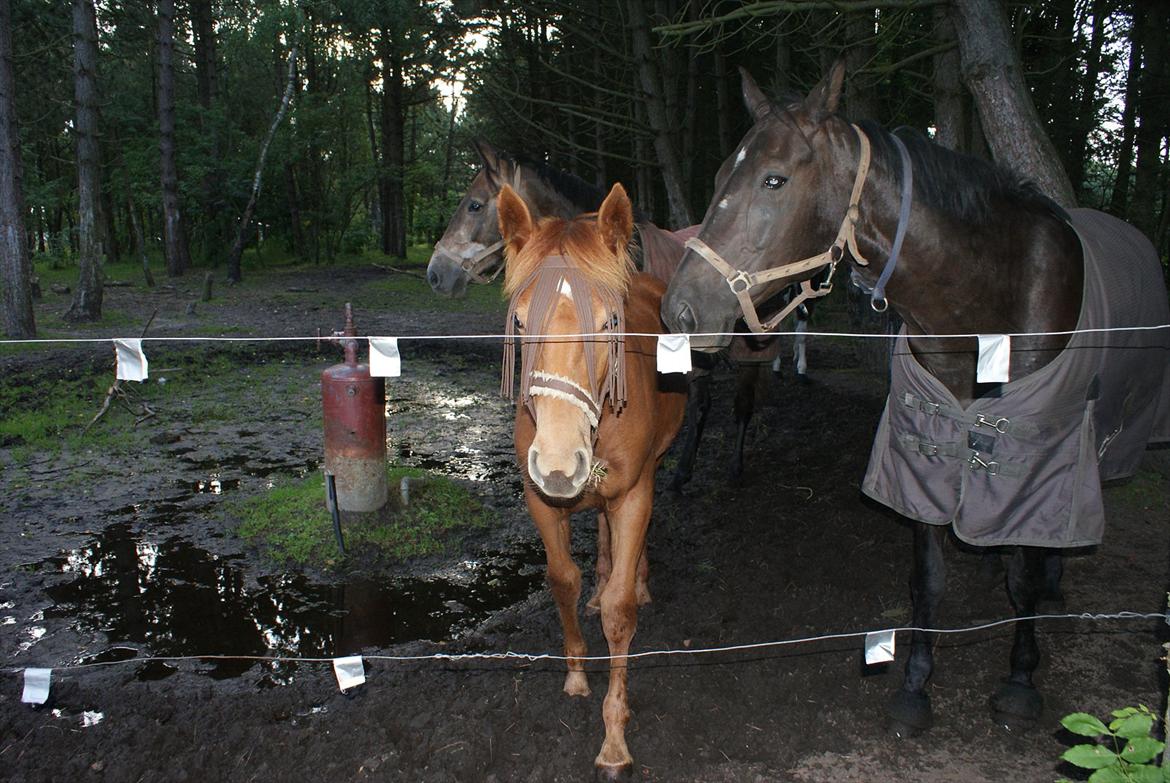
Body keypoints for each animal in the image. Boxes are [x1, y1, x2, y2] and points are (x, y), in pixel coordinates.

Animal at [425, 138, 819, 482]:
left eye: (474, 205)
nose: (435, 274)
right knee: (702, 407)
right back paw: (682, 473)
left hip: (750, 351)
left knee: (743, 404)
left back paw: (735, 466)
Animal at [659, 64, 1170, 735]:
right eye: (720, 176)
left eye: (775, 178)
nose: (679, 311)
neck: (987, 301)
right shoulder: (929, 444)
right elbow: (927, 578)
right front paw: (916, 685)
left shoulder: (1036, 446)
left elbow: (1027, 572)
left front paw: (1020, 677)